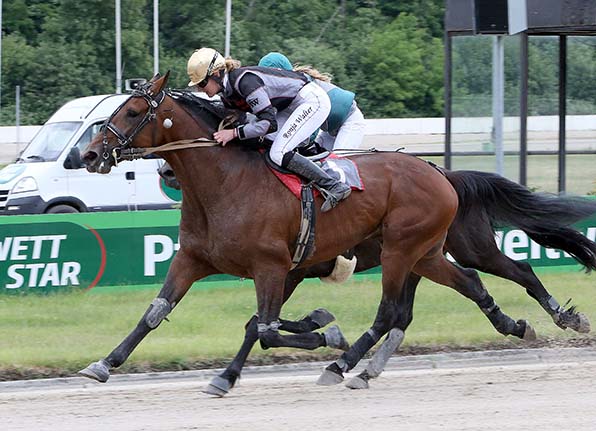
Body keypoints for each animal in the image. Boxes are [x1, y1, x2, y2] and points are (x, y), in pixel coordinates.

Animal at [79, 75, 596, 394]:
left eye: (132, 111)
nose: (89, 154)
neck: (227, 182)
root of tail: (439, 172)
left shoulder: (272, 266)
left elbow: (263, 327)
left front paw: (324, 334)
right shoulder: (195, 259)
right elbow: (156, 313)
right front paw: (104, 363)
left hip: (407, 249)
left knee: (403, 307)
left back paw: (345, 365)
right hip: (426, 253)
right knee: (467, 285)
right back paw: (515, 325)